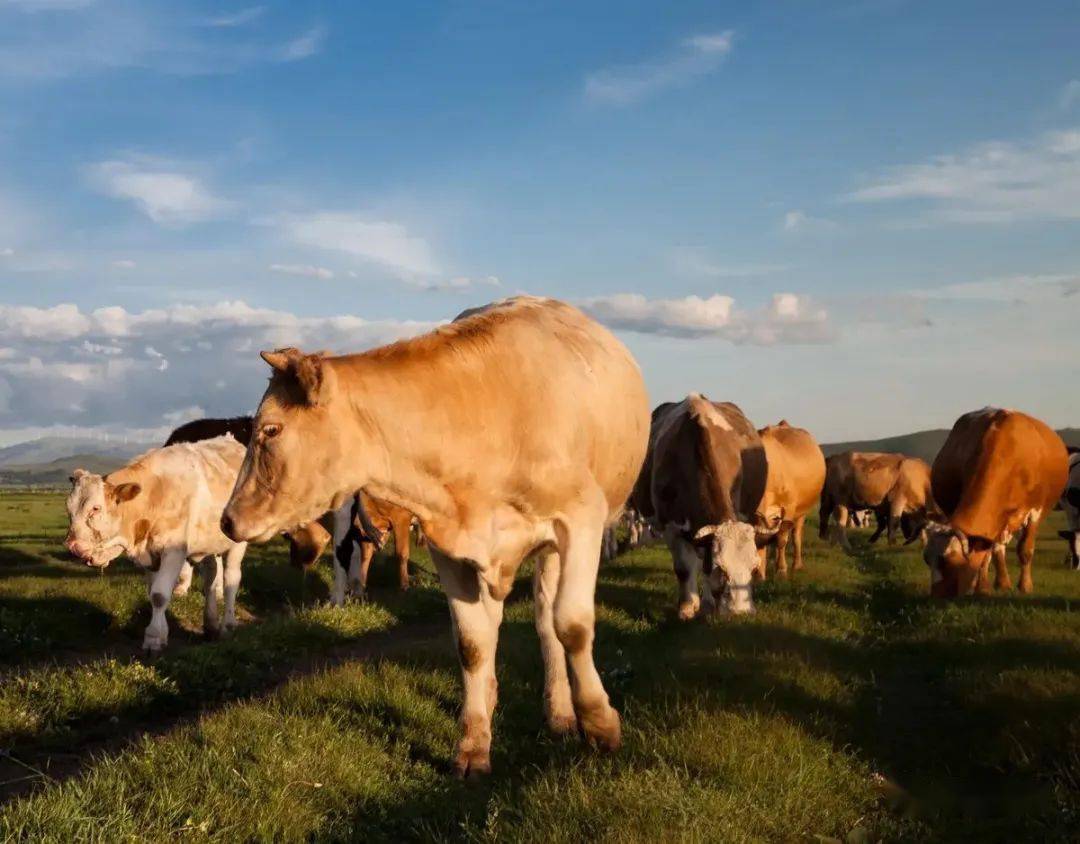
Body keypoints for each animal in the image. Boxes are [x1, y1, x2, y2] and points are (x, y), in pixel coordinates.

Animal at [64, 434, 247, 652]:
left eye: (95, 508)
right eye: (68, 509)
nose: (73, 546)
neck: (156, 494)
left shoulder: (174, 552)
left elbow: (159, 595)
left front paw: (153, 639)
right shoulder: (149, 555)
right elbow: (153, 593)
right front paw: (161, 634)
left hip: (237, 543)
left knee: (230, 580)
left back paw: (228, 625)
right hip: (207, 544)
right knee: (210, 577)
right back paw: (210, 625)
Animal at [214, 296, 643, 778]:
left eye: (270, 430)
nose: (227, 520)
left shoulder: (580, 520)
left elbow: (572, 624)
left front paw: (600, 723)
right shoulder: (448, 546)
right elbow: (472, 643)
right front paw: (473, 743)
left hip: (556, 544)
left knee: (547, 617)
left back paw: (561, 712)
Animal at [630, 395, 773, 618]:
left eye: (754, 568)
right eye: (721, 568)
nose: (741, 612)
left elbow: (703, 569)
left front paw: (707, 606)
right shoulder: (671, 527)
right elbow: (684, 569)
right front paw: (687, 608)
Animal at [751, 421, 825, 579]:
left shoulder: (788, 508)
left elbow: (781, 540)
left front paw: (781, 569)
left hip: (802, 511)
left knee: (796, 536)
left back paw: (796, 564)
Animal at [924, 406, 1067, 592]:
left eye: (950, 562)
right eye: (927, 560)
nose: (935, 595)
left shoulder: (1035, 510)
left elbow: (1025, 549)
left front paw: (1025, 586)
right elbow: (988, 553)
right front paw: (984, 588)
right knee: (998, 548)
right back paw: (1001, 582)